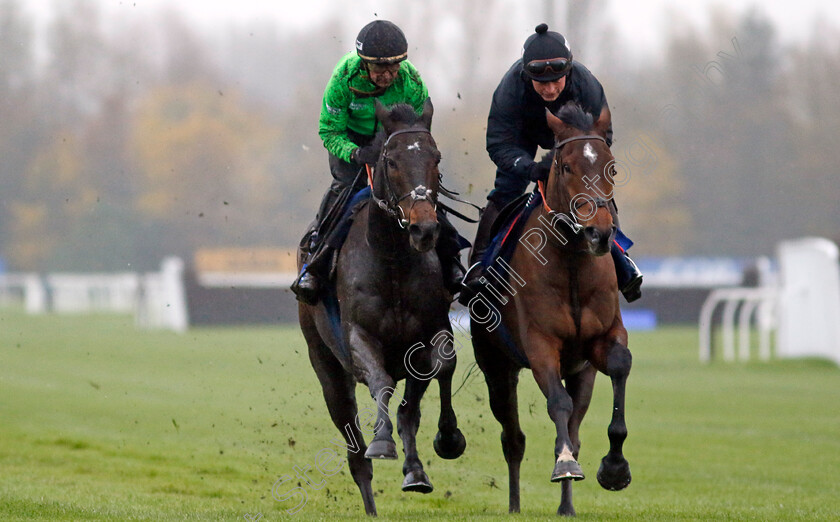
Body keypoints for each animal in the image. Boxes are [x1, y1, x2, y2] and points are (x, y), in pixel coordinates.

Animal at [296, 99, 466, 512]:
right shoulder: (358, 337)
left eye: (436, 157)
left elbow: (438, 371)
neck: (392, 261)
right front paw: (383, 441)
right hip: (325, 366)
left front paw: (444, 442)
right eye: (390, 161)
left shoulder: (431, 332)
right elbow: (382, 383)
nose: (425, 229)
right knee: (355, 451)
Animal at [470, 100, 632, 512]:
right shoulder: (540, 342)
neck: (572, 263)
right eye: (566, 166)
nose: (599, 232)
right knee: (513, 438)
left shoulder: (603, 337)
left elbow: (620, 367)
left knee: (575, 424)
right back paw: (515, 505)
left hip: (582, 373)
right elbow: (557, 403)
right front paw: (564, 463)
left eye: (612, 166)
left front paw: (615, 467)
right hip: (496, 367)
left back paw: (566, 507)